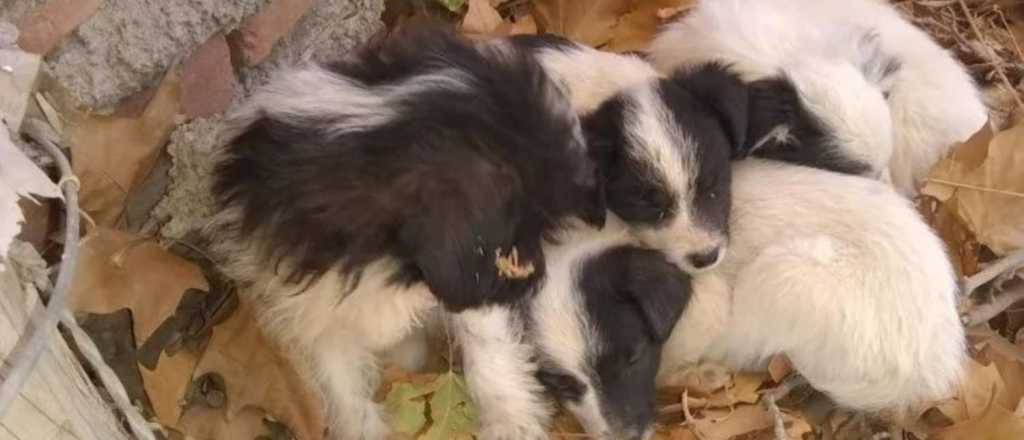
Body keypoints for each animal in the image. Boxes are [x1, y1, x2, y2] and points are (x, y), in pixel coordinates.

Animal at [207, 28, 606, 440]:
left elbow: (487, 346)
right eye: (522, 231)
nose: (538, 277)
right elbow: (342, 388)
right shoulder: (309, 307)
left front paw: (510, 421)